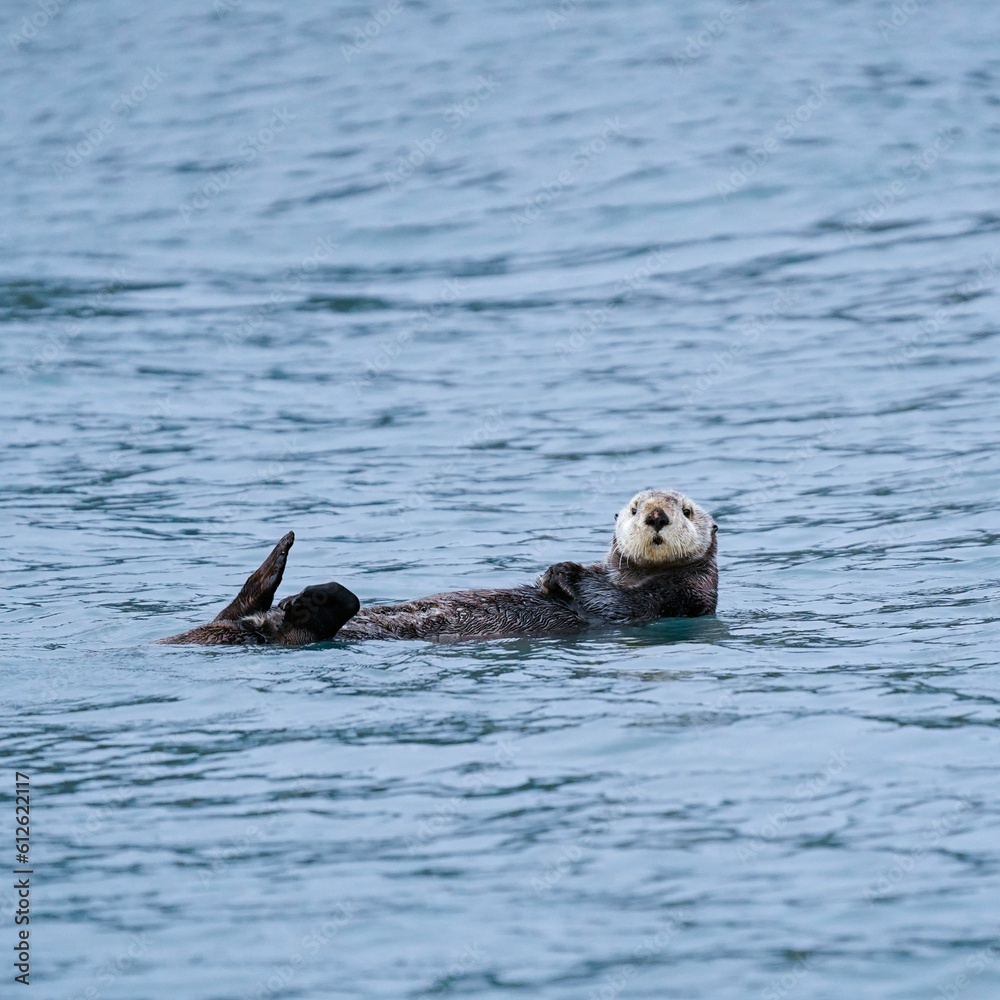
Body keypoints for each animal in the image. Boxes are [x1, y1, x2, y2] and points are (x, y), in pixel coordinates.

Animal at [156, 489, 717, 646]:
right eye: (635, 506)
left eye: (686, 510)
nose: (657, 515)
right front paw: (555, 572)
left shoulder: (671, 599)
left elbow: (606, 604)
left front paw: (560, 576)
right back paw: (284, 555)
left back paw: (312, 600)